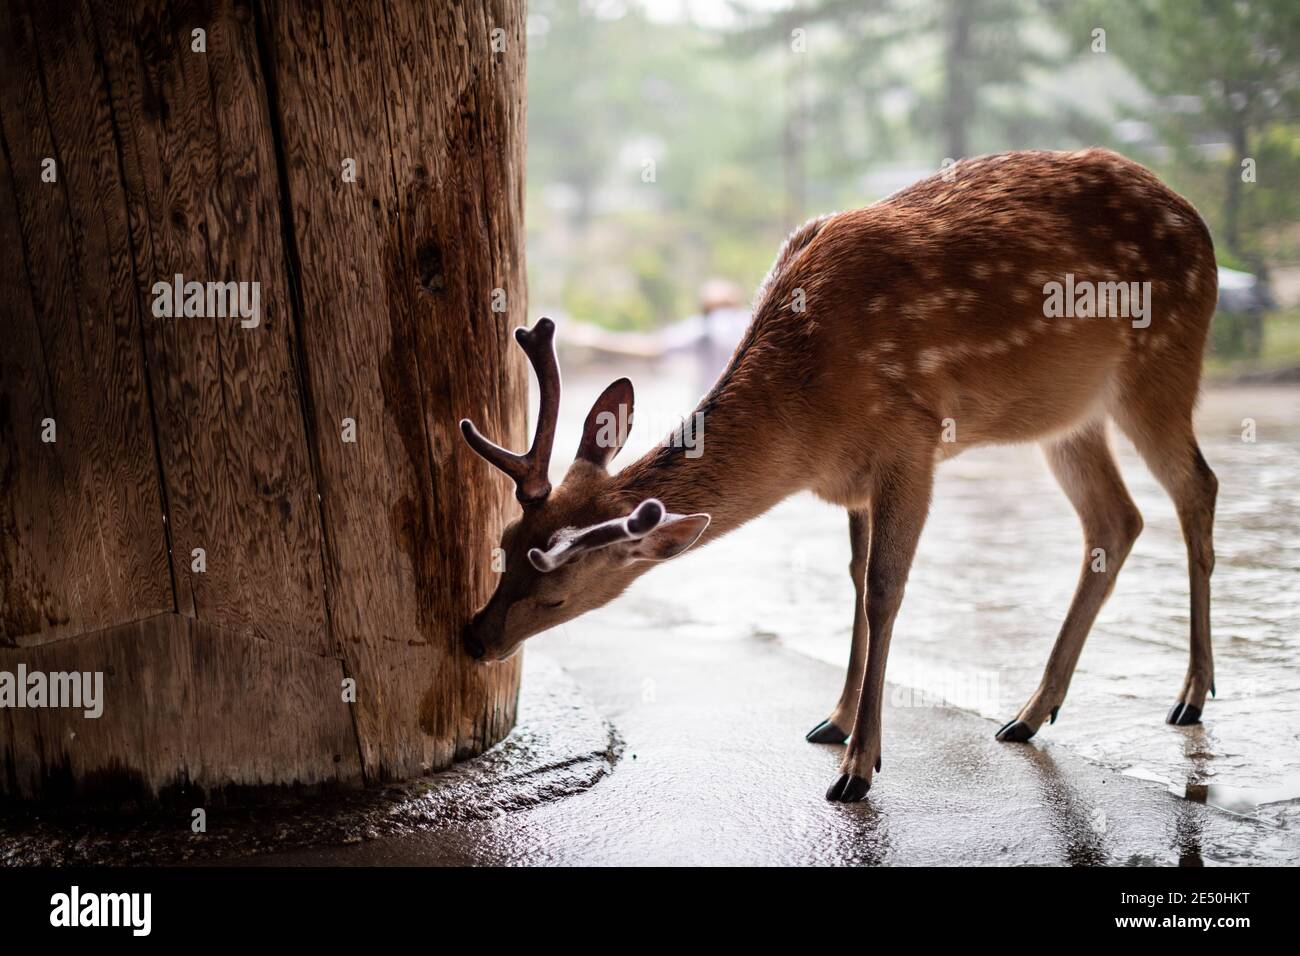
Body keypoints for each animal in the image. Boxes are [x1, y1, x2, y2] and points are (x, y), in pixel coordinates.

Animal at [459, 148, 1219, 802]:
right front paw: (835, 720)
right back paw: (1030, 713)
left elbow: (884, 590)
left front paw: (859, 767)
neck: (804, 419)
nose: (473, 637)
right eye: (504, 545)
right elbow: (853, 581)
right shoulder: (852, 477)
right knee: (1116, 519)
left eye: (557, 595)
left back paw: (1190, 695)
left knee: (1197, 487)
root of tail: (1200, 224)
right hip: (1068, 416)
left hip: (1162, 357)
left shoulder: (910, 439)